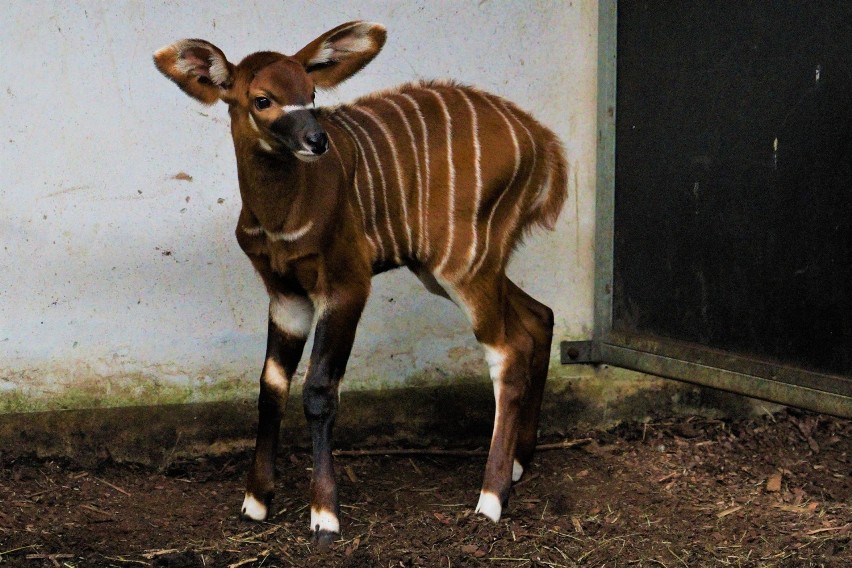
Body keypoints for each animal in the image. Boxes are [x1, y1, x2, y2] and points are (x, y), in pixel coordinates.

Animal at [155, 22, 564, 544]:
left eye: (311, 93)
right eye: (262, 99)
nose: (317, 140)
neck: (283, 217)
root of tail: (544, 143)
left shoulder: (346, 285)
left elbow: (319, 389)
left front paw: (324, 514)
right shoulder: (286, 296)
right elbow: (270, 386)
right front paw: (255, 502)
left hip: (464, 265)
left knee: (508, 351)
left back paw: (490, 499)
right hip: (456, 268)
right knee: (538, 317)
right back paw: (517, 465)